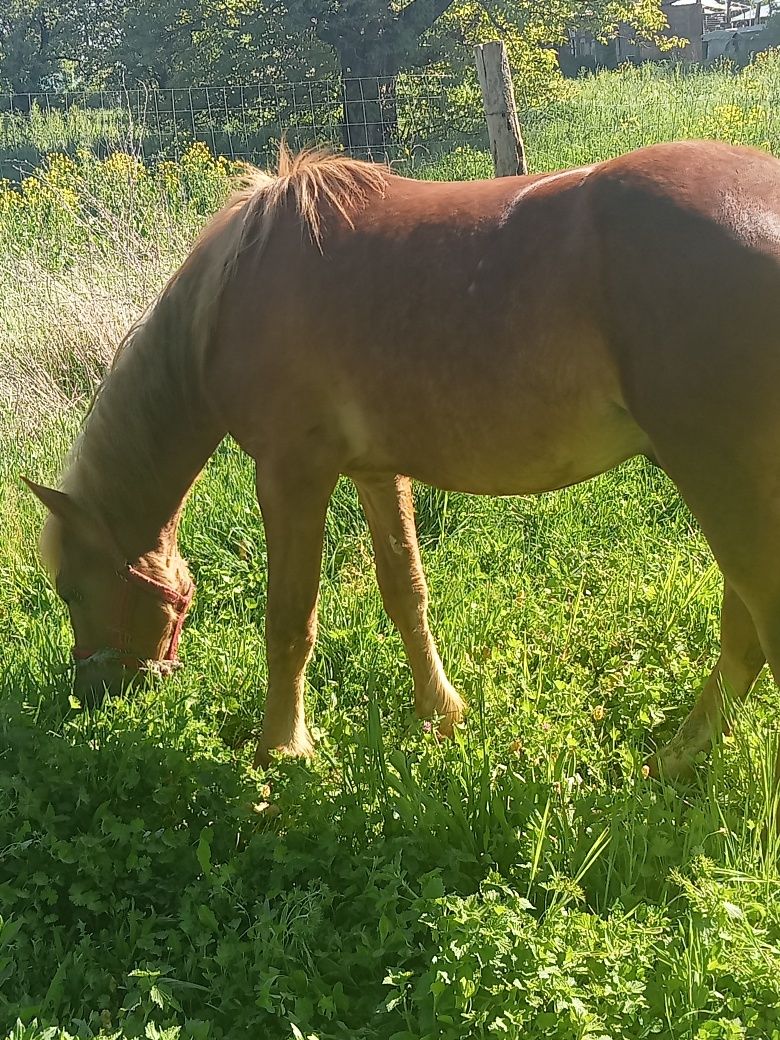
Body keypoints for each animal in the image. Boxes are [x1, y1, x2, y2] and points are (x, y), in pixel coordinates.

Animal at [26, 144, 780, 782]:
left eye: (70, 589)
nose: (93, 695)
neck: (238, 286)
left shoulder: (292, 474)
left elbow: (290, 618)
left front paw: (283, 751)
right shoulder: (374, 470)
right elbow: (405, 592)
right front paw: (441, 715)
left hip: (721, 481)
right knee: (742, 635)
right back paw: (675, 759)